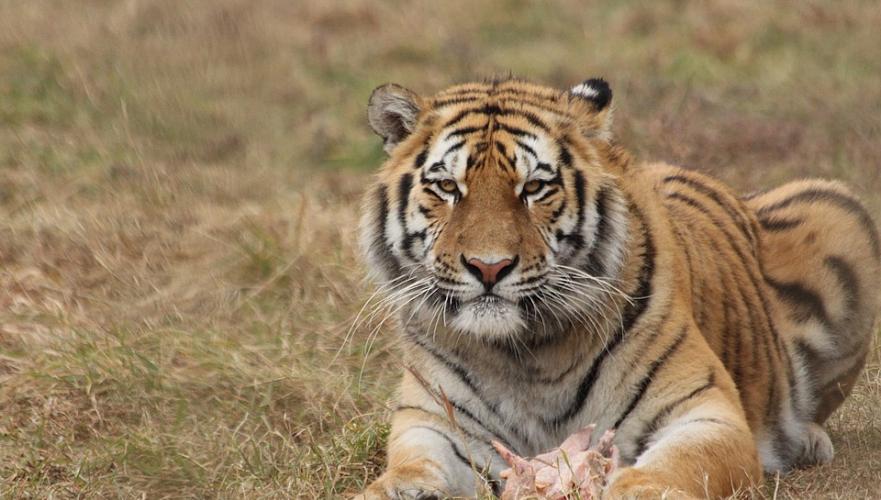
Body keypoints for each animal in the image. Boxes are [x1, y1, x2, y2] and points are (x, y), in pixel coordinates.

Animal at [352, 76, 880, 498]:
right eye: (447, 188)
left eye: (534, 188)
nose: (489, 266)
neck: (522, 354)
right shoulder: (432, 425)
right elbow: (408, 474)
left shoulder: (705, 412)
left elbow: (673, 467)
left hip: (841, 211)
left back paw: (807, 439)